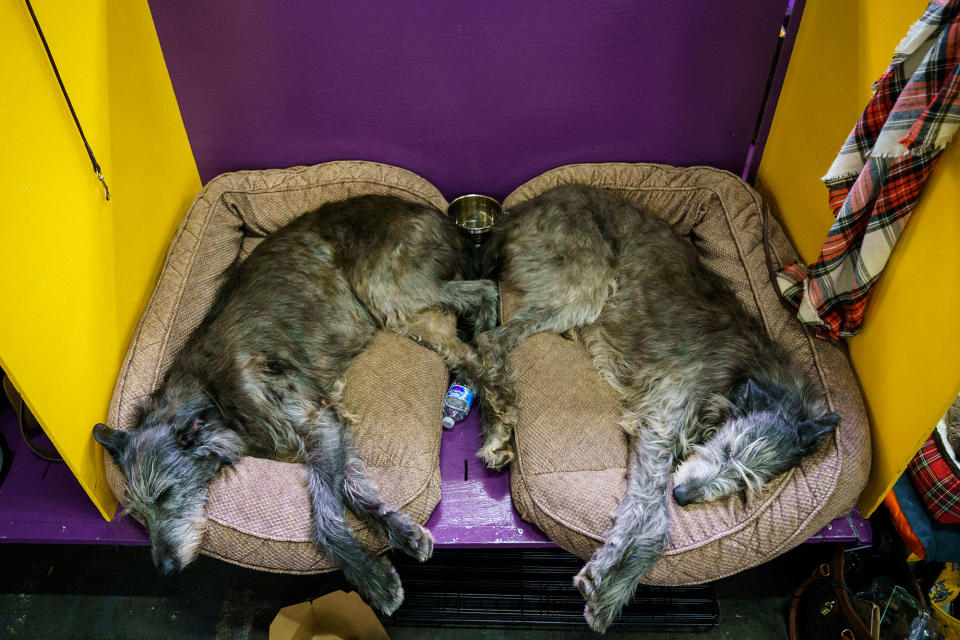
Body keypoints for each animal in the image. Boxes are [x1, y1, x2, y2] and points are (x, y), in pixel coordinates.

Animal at [95, 195, 502, 616]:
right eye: (138, 512)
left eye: (166, 494)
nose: (165, 568)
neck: (212, 394)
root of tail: (436, 213)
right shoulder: (327, 426)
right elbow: (351, 489)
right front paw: (401, 531)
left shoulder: (314, 420)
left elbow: (324, 518)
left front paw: (373, 580)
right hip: (407, 314)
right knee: (473, 330)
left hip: (388, 288)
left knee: (485, 300)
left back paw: (497, 427)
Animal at [476, 184, 836, 632]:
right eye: (729, 450)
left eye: (747, 484)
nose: (683, 495)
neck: (745, 379)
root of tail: (521, 208)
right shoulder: (662, 420)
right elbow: (653, 514)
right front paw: (610, 582)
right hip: (586, 281)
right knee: (492, 341)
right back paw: (500, 414)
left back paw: (498, 430)